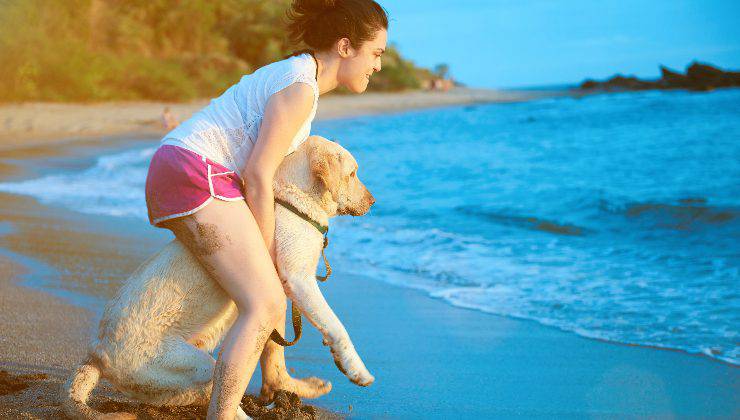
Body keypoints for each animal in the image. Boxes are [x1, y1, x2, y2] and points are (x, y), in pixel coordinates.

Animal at [62, 136, 376, 418]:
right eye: (353, 173)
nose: (374, 201)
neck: (293, 202)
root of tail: (96, 354)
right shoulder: (299, 279)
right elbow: (336, 326)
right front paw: (356, 368)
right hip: (187, 364)